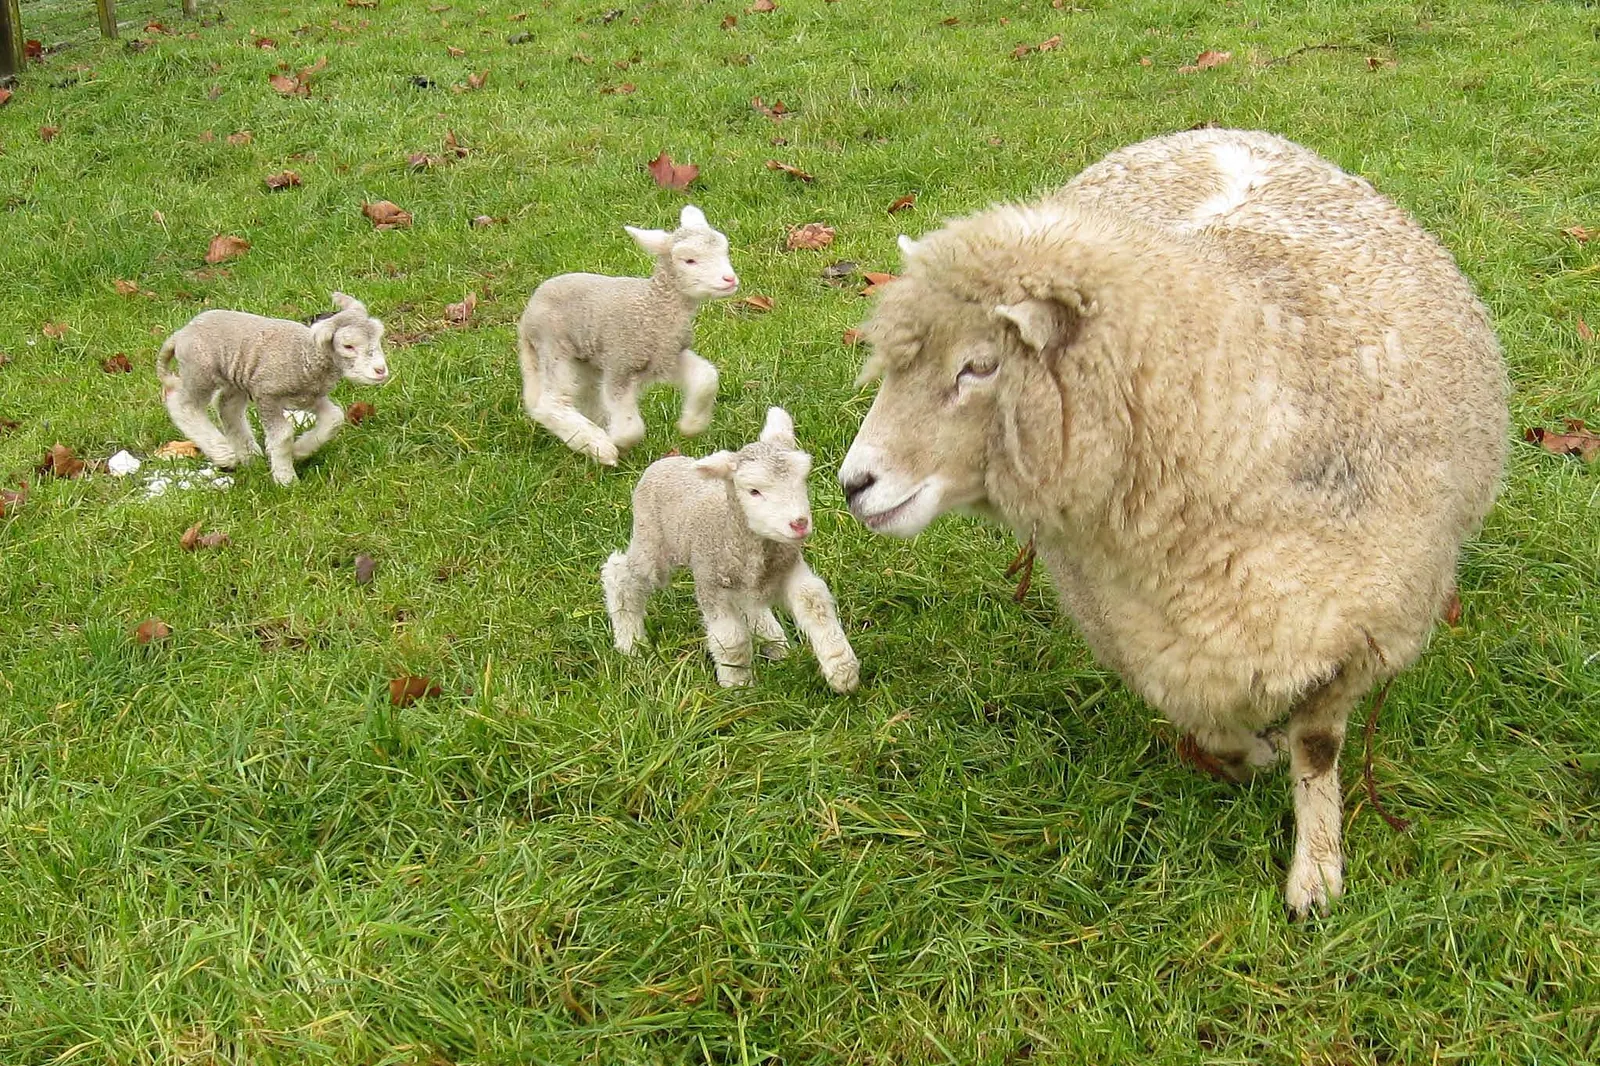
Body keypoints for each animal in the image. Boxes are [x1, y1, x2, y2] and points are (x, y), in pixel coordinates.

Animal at [157, 293, 389, 486]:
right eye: (348, 346)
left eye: (378, 337)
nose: (381, 370)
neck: (305, 355)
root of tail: (181, 333)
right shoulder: (267, 395)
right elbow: (283, 435)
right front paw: (286, 479)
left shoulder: (309, 397)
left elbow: (334, 418)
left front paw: (299, 451)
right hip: (200, 371)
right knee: (183, 404)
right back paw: (223, 453)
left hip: (235, 377)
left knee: (226, 407)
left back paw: (249, 454)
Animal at [517, 204, 739, 465]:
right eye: (689, 260)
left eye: (724, 250)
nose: (730, 279)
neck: (653, 308)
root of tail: (526, 317)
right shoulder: (621, 364)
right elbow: (631, 428)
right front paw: (618, 444)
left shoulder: (667, 356)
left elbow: (706, 378)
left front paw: (691, 425)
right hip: (554, 347)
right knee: (550, 402)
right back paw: (597, 445)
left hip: (586, 359)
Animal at [602, 407, 861, 694]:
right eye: (754, 491)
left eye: (802, 480)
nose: (799, 524)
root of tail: (665, 462)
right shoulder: (712, 585)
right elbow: (731, 639)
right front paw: (737, 687)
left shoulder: (790, 568)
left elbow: (814, 604)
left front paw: (842, 671)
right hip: (652, 542)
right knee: (620, 575)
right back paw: (630, 643)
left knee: (753, 607)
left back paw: (776, 643)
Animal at [837, 128, 1507, 916]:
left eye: (979, 366)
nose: (852, 485)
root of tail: (1218, 129)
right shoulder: (1148, 639)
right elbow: (1214, 728)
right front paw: (1254, 757)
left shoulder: (1357, 630)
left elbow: (1317, 749)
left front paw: (1315, 874)